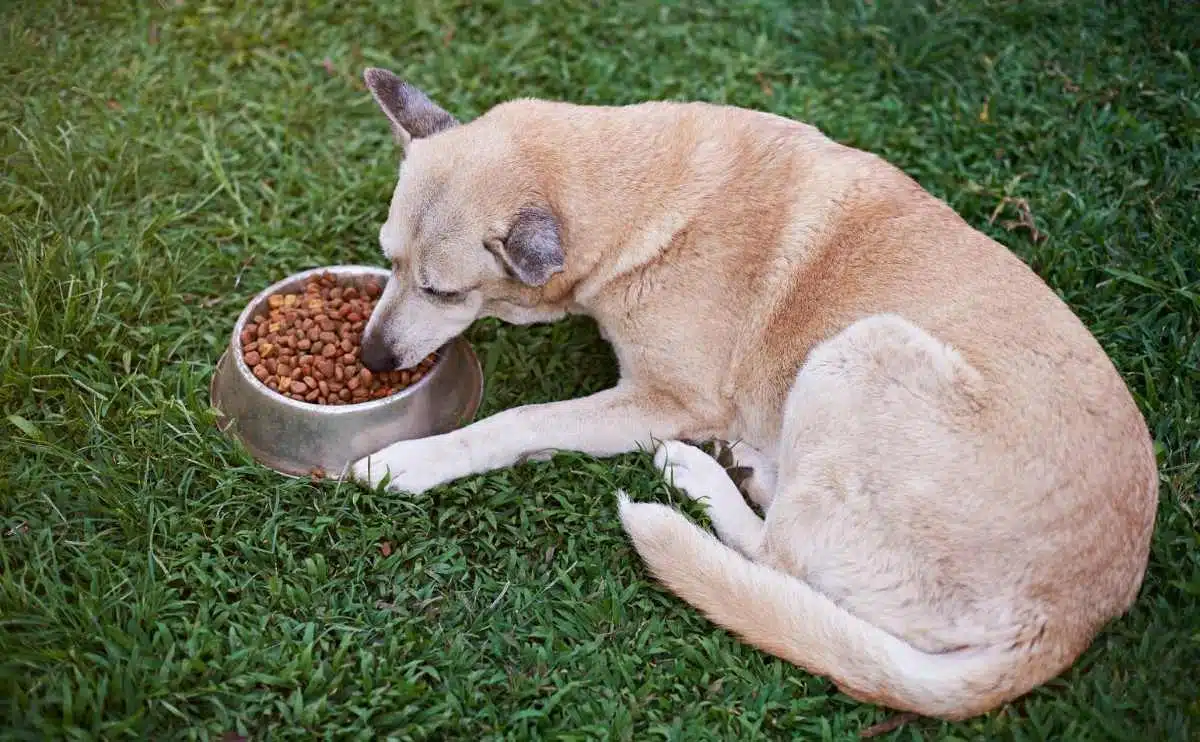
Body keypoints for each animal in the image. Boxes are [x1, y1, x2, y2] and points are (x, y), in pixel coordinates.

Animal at [350, 67, 1156, 715]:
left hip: (858, 351)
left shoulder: (666, 402)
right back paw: (752, 466)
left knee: (778, 559)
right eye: (389, 260)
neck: (639, 193)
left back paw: (698, 474)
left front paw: (407, 462)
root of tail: (1071, 621)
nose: (370, 356)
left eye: (443, 290)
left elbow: (514, 421)